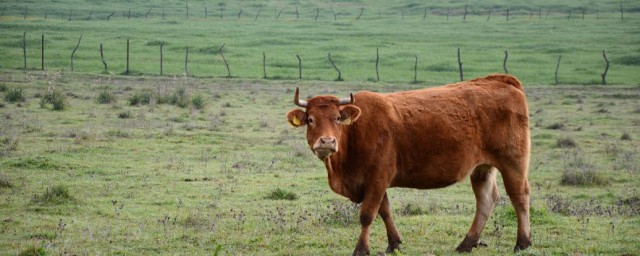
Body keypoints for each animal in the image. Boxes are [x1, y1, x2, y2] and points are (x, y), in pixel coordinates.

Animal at [288, 74, 532, 256]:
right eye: (311, 120)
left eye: (337, 118)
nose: (327, 142)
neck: (355, 131)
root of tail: (501, 80)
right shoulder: (376, 182)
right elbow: (385, 211)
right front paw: (394, 244)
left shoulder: (377, 178)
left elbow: (367, 214)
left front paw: (361, 249)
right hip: (481, 168)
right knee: (486, 199)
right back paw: (467, 243)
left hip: (513, 163)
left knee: (519, 197)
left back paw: (522, 242)